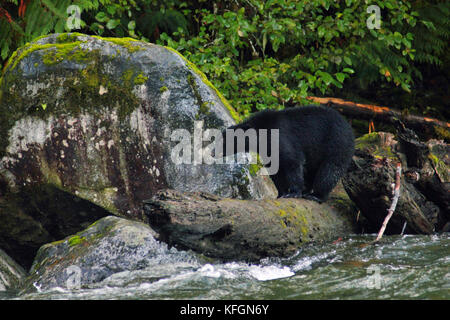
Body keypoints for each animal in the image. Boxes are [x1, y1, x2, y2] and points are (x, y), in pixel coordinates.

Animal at [221, 107, 356, 202]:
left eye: (224, 141)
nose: (215, 152)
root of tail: (348, 126)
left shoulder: (281, 139)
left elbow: (292, 162)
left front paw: (293, 192)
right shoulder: (269, 150)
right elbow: (276, 170)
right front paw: (281, 193)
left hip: (337, 143)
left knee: (330, 169)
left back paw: (316, 195)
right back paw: (307, 191)